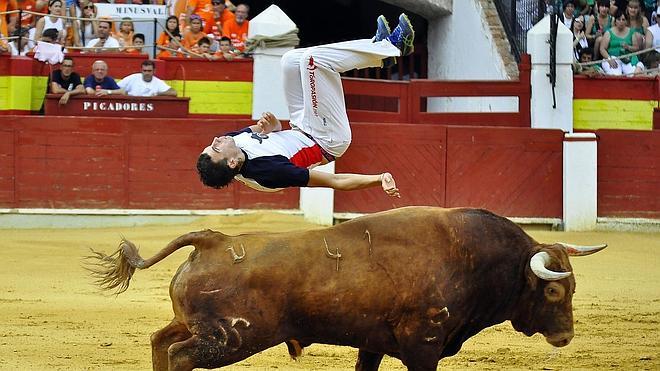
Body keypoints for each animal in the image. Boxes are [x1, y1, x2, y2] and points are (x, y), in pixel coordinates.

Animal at [87, 208, 608, 370]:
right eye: (555, 292)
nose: (565, 337)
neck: (471, 258)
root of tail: (212, 239)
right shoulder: (423, 347)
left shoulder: (373, 344)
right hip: (231, 337)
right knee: (179, 356)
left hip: (197, 325)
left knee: (160, 341)